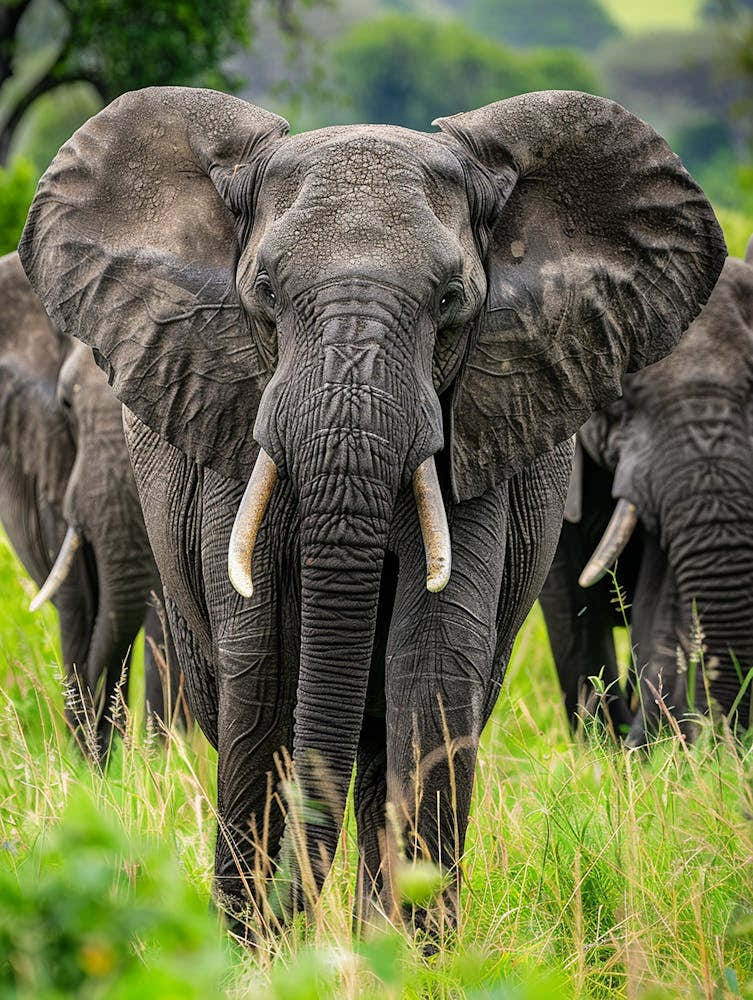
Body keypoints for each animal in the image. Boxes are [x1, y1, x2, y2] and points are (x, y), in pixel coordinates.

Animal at [18, 86, 725, 933]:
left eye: (450, 301)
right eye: (263, 294)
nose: (289, 921)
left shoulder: (474, 431)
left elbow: (433, 662)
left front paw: (408, 947)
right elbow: (264, 663)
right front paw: (253, 945)